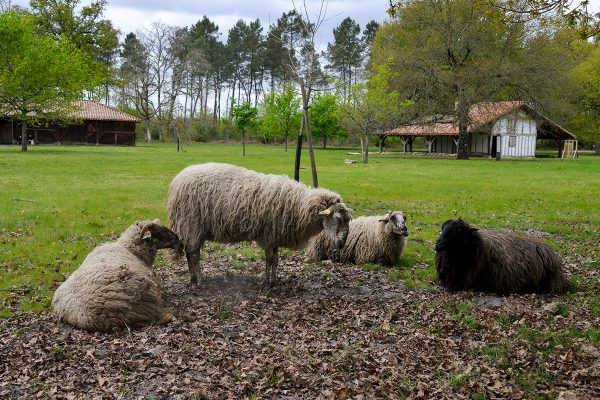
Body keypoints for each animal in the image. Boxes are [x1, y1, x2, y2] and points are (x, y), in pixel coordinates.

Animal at [165, 162, 352, 284]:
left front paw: (274, 280)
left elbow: (276, 260)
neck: (298, 204)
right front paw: (266, 281)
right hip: (192, 225)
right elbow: (269, 259)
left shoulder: (275, 236)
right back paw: (200, 280)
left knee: (189, 253)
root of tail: (176, 182)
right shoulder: (268, 235)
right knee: (194, 255)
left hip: (191, 228)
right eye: (338, 219)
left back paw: (193, 278)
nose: (342, 244)